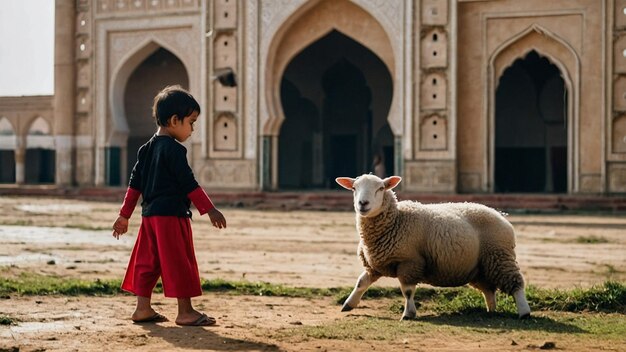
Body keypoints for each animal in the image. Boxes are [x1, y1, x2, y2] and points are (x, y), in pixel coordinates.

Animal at [334, 175, 528, 320]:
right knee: (489, 290)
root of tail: (501, 215)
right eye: (354, 188)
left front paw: (408, 314)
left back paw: (524, 312)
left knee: (516, 284)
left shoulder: (410, 262)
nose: (363, 203)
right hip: (480, 267)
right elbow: (361, 282)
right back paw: (491, 311)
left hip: (500, 256)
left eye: (381, 188)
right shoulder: (375, 264)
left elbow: (407, 291)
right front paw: (348, 304)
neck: (397, 220)